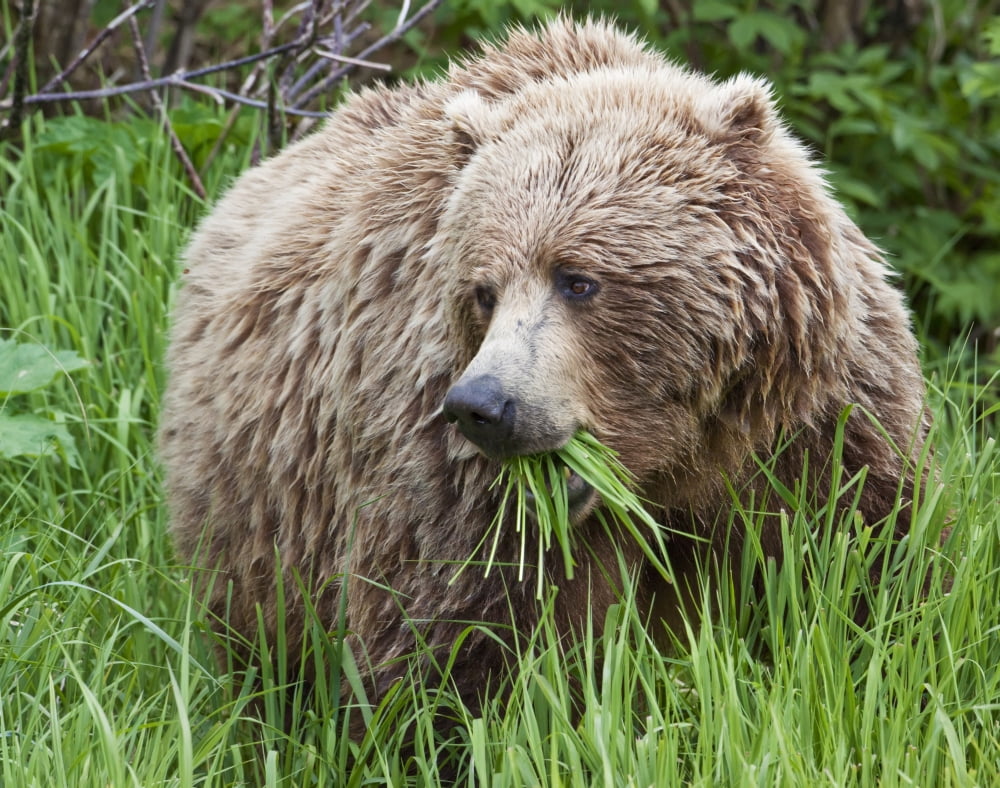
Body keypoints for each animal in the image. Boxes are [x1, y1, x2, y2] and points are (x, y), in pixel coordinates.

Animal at [159, 17, 929, 725]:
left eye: (578, 280)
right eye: (483, 290)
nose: (480, 405)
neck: (673, 462)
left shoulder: (810, 428)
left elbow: (869, 571)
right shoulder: (458, 493)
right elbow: (453, 654)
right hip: (256, 524)